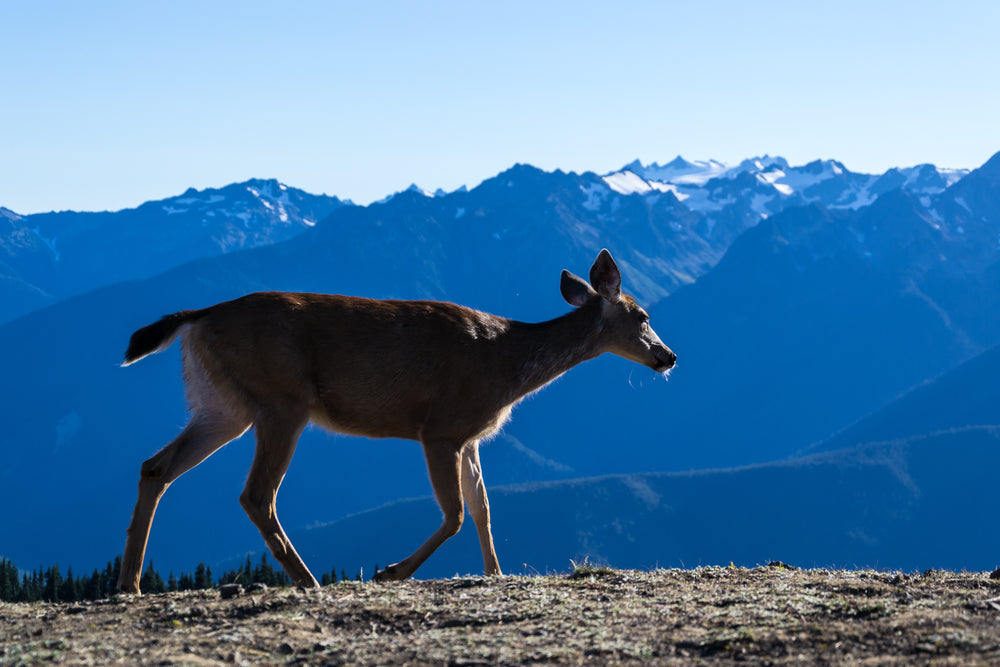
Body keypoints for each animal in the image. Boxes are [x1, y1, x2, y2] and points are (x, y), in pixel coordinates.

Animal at [119, 248, 680, 592]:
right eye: (643, 315)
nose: (669, 357)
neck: (508, 364)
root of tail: (198, 317)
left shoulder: (472, 438)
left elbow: (483, 508)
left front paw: (495, 573)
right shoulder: (441, 428)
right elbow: (455, 514)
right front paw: (391, 571)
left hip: (224, 406)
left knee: (155, 466)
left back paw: (131, 583)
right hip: (282, 401)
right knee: (256, 494)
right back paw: (309, 581)